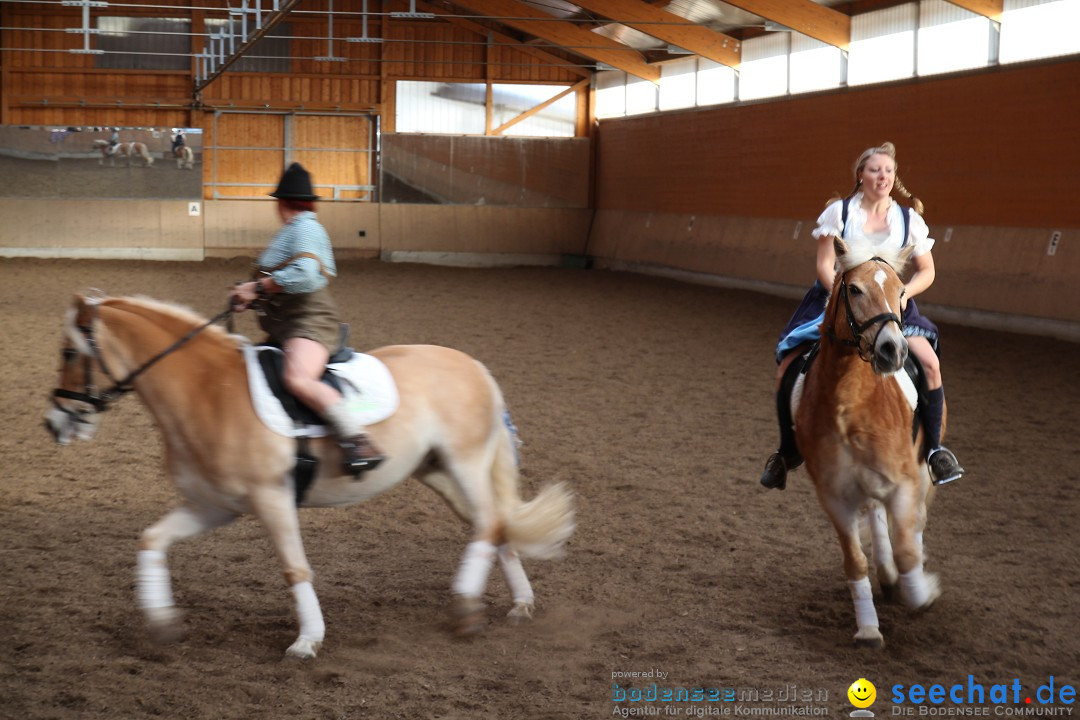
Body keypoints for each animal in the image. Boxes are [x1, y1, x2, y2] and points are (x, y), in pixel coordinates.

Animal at [46, 293, 578, 660]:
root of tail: (474, 366)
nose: (54, 424)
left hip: (464, 462)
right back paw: (520, 605)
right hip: (439, 473)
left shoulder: (271, 498)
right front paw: (160, 623)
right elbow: (151, 539)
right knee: (495, 526)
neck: (207, 390)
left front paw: (307, 641)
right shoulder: (214, 506)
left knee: (489, 523)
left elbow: (294, 568)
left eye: (70, 352)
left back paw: (467, 609)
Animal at [794, 236, 946, 647]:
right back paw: (887, 574)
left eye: (901, 292)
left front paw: (923, 589)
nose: (893, 350)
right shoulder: (834, 494)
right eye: (855, 290)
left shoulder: (905, 481)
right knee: (877, 513)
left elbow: (908, 549)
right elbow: (854, 560)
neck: (849, 404)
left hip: (923, 468)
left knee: (915, 521)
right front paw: (867, 628)